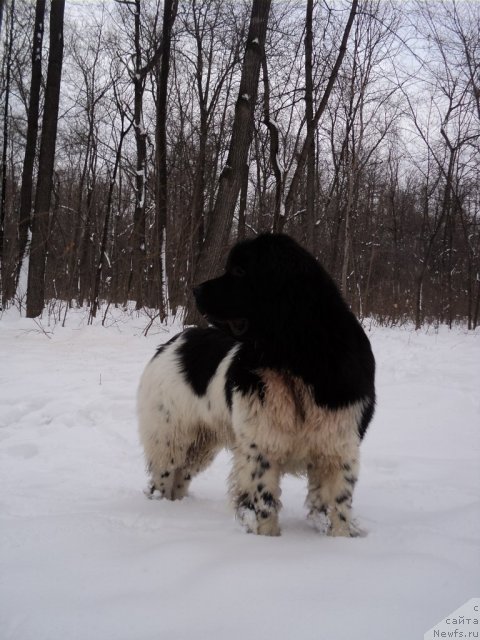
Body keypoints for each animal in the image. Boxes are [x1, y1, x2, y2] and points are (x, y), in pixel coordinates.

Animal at [137, 234, 376, 536]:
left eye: (240, 271)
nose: (195, 289)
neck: (294, 359)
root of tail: (172, 342)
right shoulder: (260, 445)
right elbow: (264, 499)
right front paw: (266, 538)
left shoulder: (339, 446)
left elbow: (338, 504)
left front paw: (340, 538)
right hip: (170, 434)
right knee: (163, 475)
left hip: (201, 443)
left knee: (181, 475)